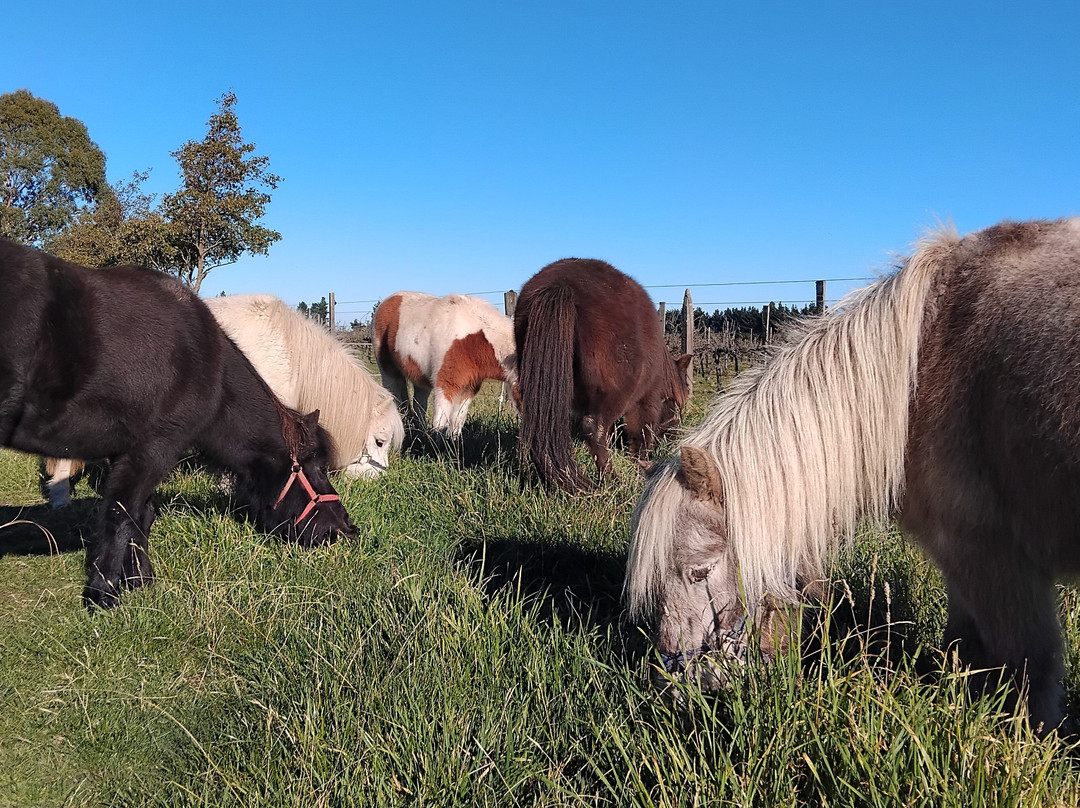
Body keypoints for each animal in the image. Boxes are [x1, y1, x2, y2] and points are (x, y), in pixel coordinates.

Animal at [0, 238, 356, 609]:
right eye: (318, 468)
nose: (346, 527)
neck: (210, 366)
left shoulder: (127, 454)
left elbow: (142, 514)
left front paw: (139, 579)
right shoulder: (153, 449)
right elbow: (121, 515)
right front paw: (104, 593)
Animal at [373, 291, 517, 437]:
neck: (473, 339)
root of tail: (388, 300)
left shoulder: (469, 386)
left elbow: (457, 420)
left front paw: (454, 442)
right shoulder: (445, 384)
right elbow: (440, 422)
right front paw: (438, 442)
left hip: (420, 377)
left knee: (419, 404)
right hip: (388, 370)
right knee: (394, 396)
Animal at [514, 258, 692, 491]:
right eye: (677, 406)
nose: (674, 439)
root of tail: (560, 284)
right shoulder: (646, 401)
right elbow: (641, 435)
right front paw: (639, 467)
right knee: (594, 430)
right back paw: (609, 481)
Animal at [625, 217, 1080, 732]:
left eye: (700, 572)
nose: (671, 677)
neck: (914, 380)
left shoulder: (996, 557)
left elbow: (1031, 670)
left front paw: (1029, 742)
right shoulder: (967, 562)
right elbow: (964, 648)